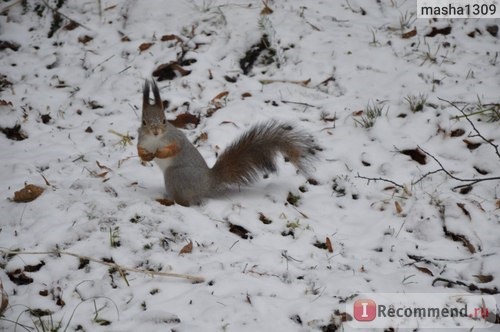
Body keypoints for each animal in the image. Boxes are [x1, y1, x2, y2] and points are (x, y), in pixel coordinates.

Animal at [138, 79, 316, 206]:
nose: (155, 131)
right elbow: (139, 150)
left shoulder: (176, 138)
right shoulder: (142, 140)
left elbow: (175, 148)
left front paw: (160, 153)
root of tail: (208, 182)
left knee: (184, 202)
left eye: (164, 120)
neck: (155, 140)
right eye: (144, 122)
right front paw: (145, 156)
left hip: (176, 176)